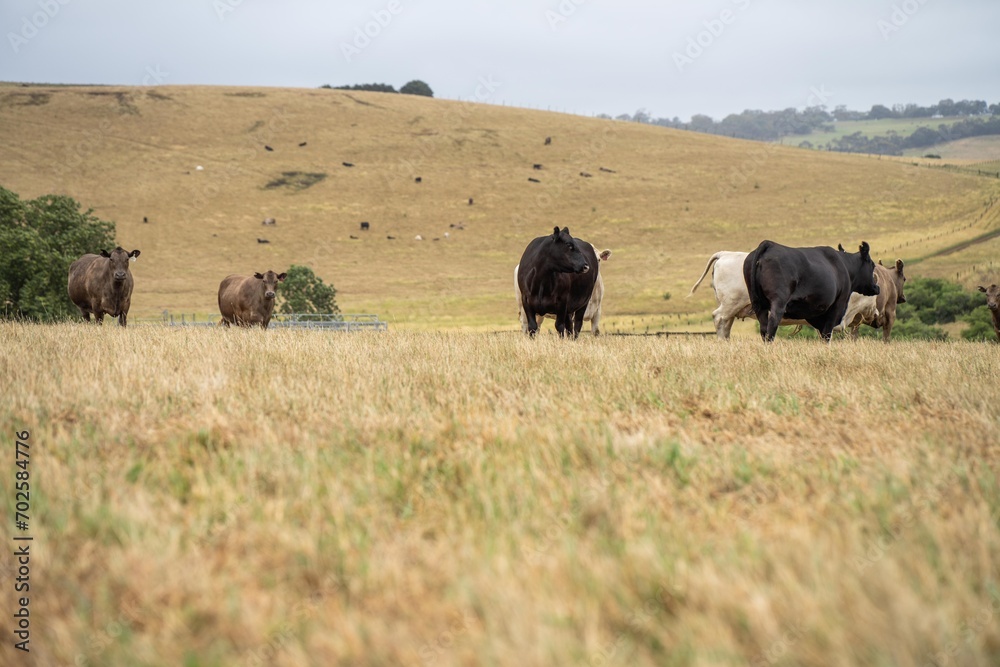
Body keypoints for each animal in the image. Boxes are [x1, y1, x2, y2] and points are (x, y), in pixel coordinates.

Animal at [740, 241, 880, 344]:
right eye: (872, 265)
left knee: (764, 329)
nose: (877, 288)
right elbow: (827, 334)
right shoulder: (837, 305)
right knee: (771, 326)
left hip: (758, 304)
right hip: (778, 302)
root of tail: (770, 244)